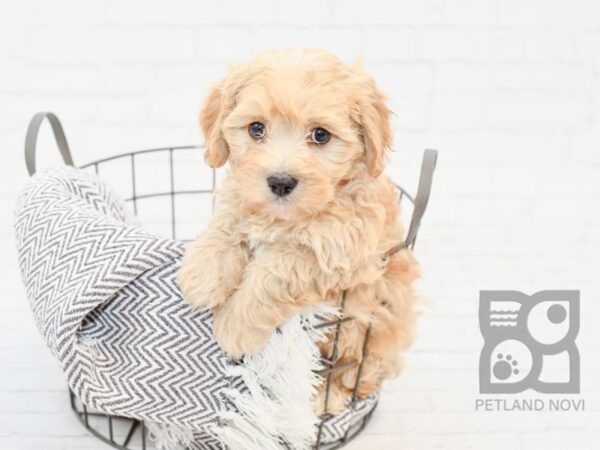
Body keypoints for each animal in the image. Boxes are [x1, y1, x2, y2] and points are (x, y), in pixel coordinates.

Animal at [178, 48, 422, 412]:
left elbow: (276, 269)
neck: (284, 219)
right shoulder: (241, 195)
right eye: (256, 128)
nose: (280, 182)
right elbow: (228, 219)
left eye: (321, 135)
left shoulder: (339, 252)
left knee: (354, 374)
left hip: (367, 332)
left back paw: (324, 400)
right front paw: (204, 275)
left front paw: (235, 325)